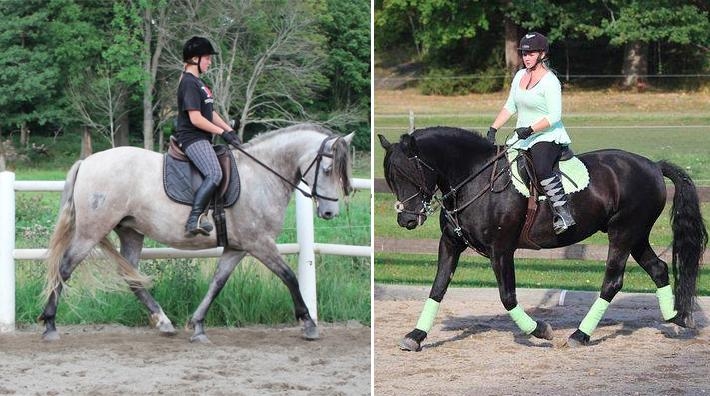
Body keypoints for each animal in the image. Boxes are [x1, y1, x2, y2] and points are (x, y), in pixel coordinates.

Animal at [39, 124, 356, 344]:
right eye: (328, 169)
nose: (330, 213)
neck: (261, 175)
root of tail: (87, 161)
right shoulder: (259, 243)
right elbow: (289, 276)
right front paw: (309, 324)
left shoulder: (238, 248)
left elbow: (217, 282)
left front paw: (198, 326)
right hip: (91, 231)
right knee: (64, 268)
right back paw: (50, 325)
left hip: (130, 231)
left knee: (131, 278)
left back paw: (164, 322)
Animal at [378, 127, 708, 350]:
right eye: (392, 178)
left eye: (409, 174)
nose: (407, 220)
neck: (474, 179)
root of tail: (653, 165)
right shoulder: (450, 244)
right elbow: (437, 289)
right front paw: (415, 337)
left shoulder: (501, 249)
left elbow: (507, 297)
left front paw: (540, 331)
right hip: (636, 235)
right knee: (658, 269)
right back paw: (677, 318)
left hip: (623, 233)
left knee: (613, 281)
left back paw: (580, 335)